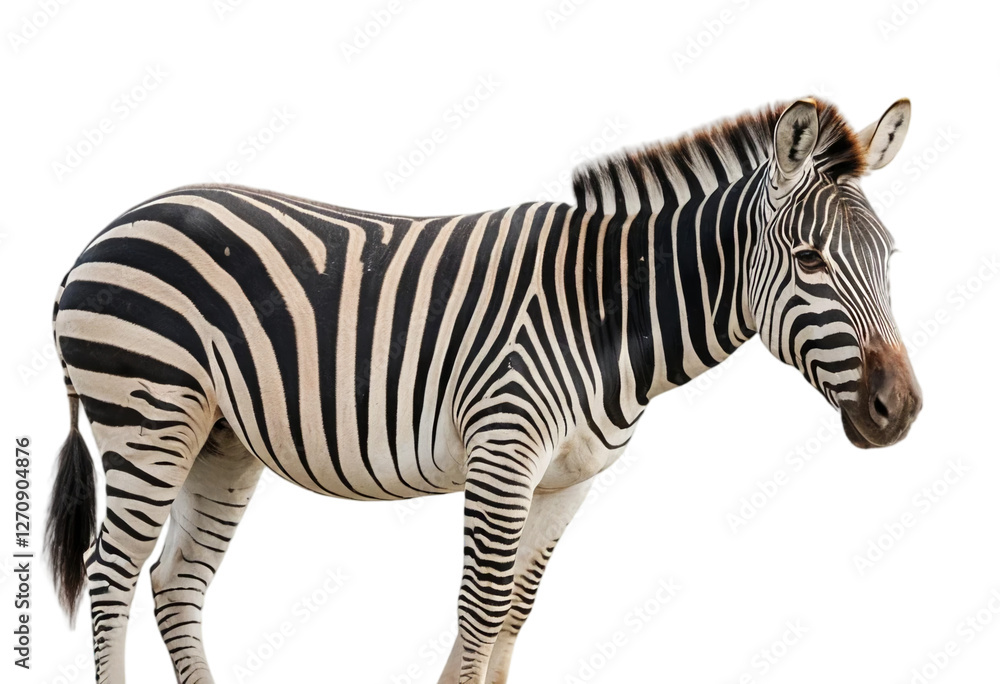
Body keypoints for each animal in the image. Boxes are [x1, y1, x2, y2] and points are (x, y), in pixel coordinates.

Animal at [45, 96, 921, 684]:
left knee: (176, 582)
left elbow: (516, 613)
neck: (605, 312)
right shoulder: (504, 454)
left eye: (891, 255)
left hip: (219, 439)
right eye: (810, 260)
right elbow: (481, 610)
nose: (901, 410)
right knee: (112, 574)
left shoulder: (566, 482)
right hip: (147, 416)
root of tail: (109, 227)